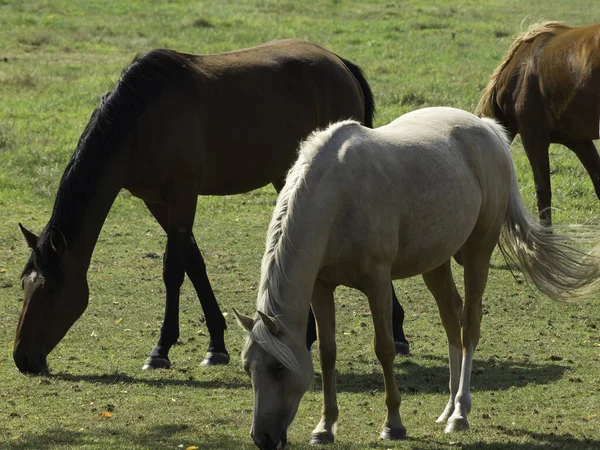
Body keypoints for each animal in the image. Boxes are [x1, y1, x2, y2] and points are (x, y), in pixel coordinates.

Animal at [15, 40, 408, 374]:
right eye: (24, 285)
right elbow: (194, 263)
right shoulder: (156, 201)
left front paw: (160, 350)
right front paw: (216, 345)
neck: (141, 119)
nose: (22, 358)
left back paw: (391, 331)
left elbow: (173, 269)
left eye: (51, 289)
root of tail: (339, 63)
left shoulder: (183, 194)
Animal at [233, 107, 600, 448]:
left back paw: (460, 414)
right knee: (452, 320)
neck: (338, 196)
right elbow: (327, 353)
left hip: (478, 251)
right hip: (435, 263)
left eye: (278, 368)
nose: (262, 437)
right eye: (248, 367)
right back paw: (448, 409)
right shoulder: (321, 287)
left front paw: (393, 424)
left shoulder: (378, 283)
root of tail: (487, 128)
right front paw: (325, 428)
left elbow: (384, 349)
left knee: (470, 324)